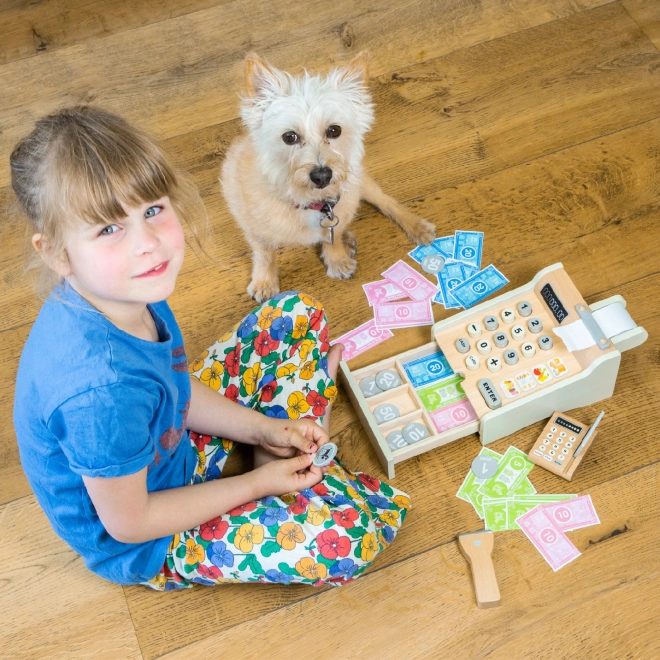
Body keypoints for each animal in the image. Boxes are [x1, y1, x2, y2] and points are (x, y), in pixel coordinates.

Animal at [224, 51, 436, 302]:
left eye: (334, 130)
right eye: (289, 137)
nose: (322, 175)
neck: (311, 202)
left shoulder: (340, 209)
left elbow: (332, 235)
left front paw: (337, 258)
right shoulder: (256, 231)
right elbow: (265, 255)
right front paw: (264, 281)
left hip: (360, 183)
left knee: (386, 201)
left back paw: (415, 226)